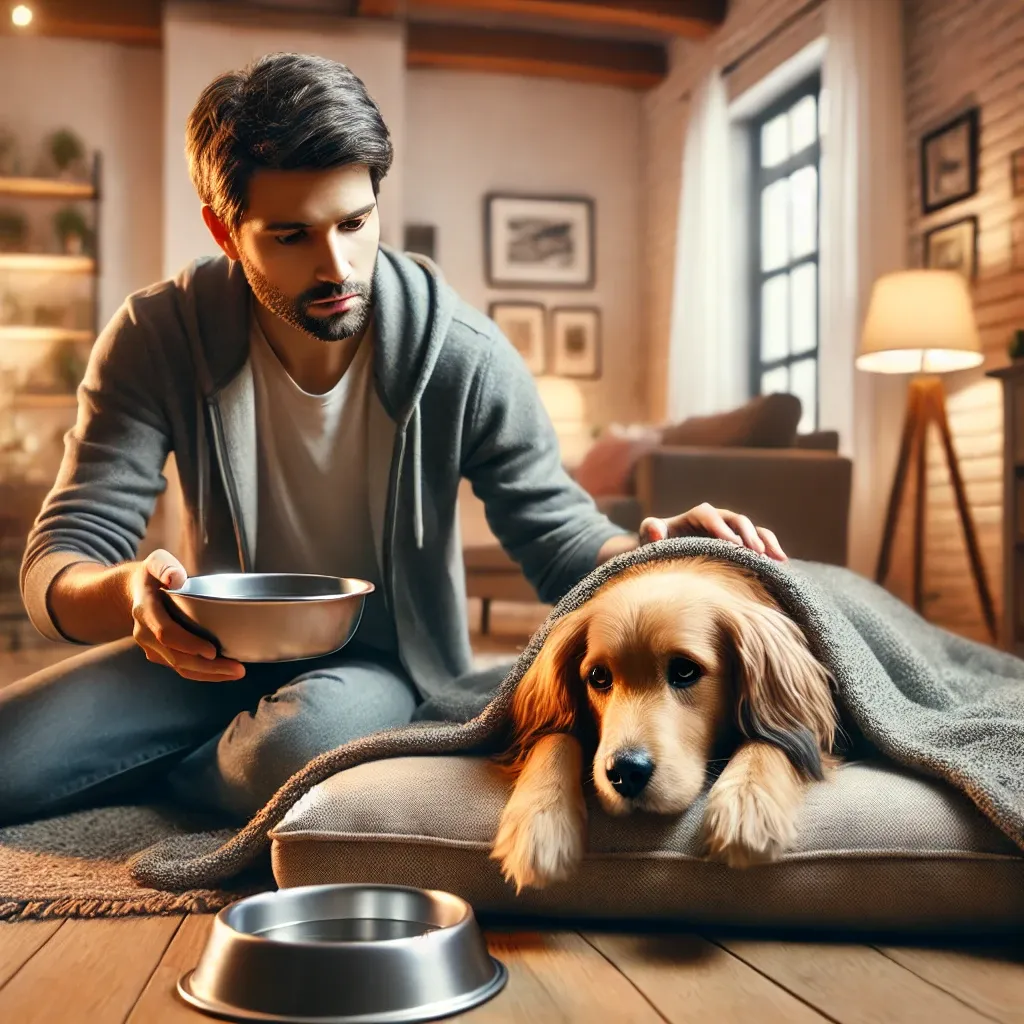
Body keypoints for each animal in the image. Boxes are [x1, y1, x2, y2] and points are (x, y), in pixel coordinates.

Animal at [491, 557, 835, 892]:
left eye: (685, 670)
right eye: (598, 677)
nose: (626, 772)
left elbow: (775, 737)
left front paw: (747, 803)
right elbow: (554, 735)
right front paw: (539, 822)